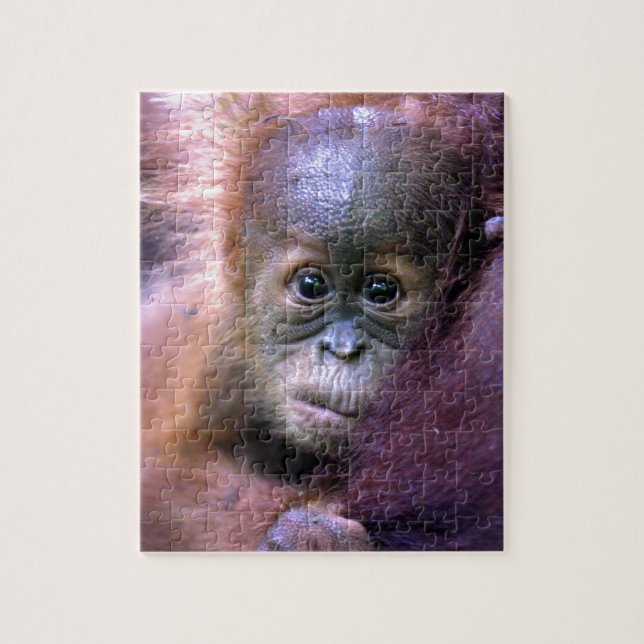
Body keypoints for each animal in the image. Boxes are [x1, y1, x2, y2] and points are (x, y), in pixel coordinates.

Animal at [139, 92, 503, 551]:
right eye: (311, 284)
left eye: (382, 291)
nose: (343, 351)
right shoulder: (216, 345)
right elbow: (170, 464)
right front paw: (308, 536)